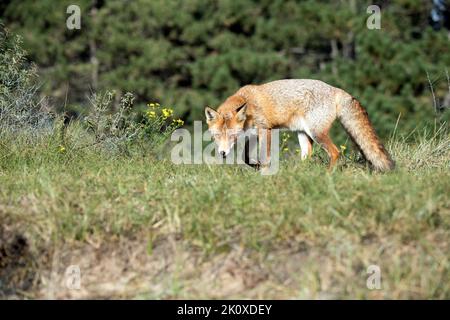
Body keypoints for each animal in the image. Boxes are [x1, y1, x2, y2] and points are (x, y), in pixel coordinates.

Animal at [204, 79, 394, 171]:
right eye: (216, 136)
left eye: (232, 136)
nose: (222, 153)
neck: (248, 103)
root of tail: (336, 89)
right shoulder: (251, 136)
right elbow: (245, 158)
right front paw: (256, 167)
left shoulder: (266, 130)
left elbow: (265, 157)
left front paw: (263, 172)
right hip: (303, 133)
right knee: (307, 155)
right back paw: (299, 173)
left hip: (317, 133)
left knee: (335, 153)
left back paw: (326, 175)